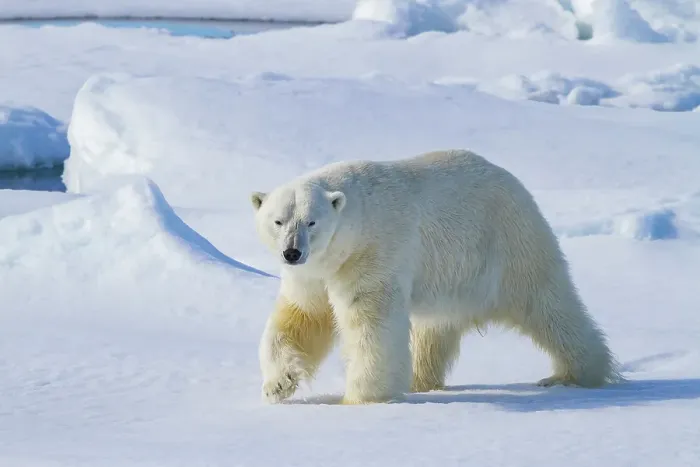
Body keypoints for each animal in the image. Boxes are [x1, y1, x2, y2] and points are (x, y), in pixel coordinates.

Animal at [250, 149, 620, 405]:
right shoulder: (314, 273)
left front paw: (363, 397)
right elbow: (302, 317)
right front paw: (278, 384)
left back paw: (575, 374)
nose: (292, 252)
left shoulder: (373, 252)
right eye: (278, 221)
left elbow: (370, 323)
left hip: (510, 246)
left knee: (549, 307)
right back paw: (420, 381)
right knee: (434, 331)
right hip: (451, 280)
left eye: (311, 221)